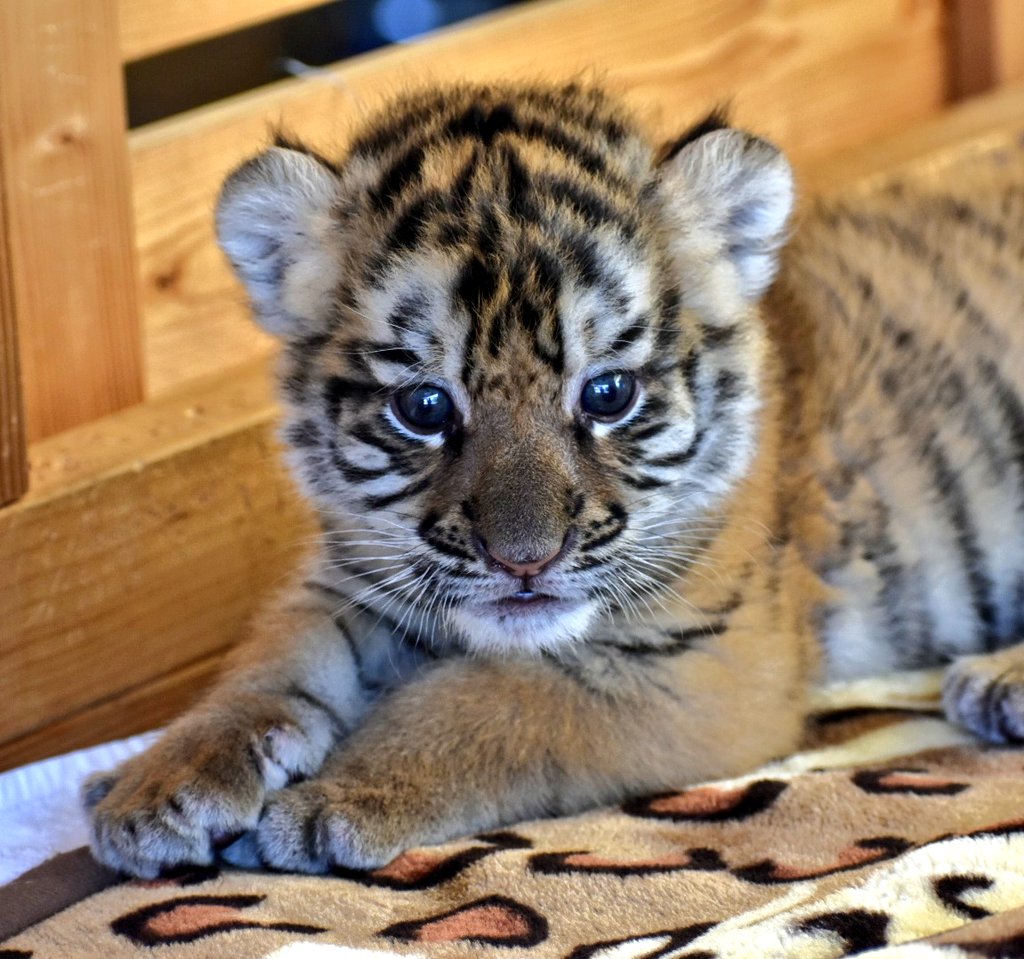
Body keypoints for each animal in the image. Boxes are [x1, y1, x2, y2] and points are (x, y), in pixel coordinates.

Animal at [83, 80, 1024, 876]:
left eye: (607, 393)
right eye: (425, 406)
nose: (525, 561)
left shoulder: (702, 665)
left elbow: (489, 699)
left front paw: (330, 798)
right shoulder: (356, 574)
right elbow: (270, 657)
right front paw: (156, 785)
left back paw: (997, 682)